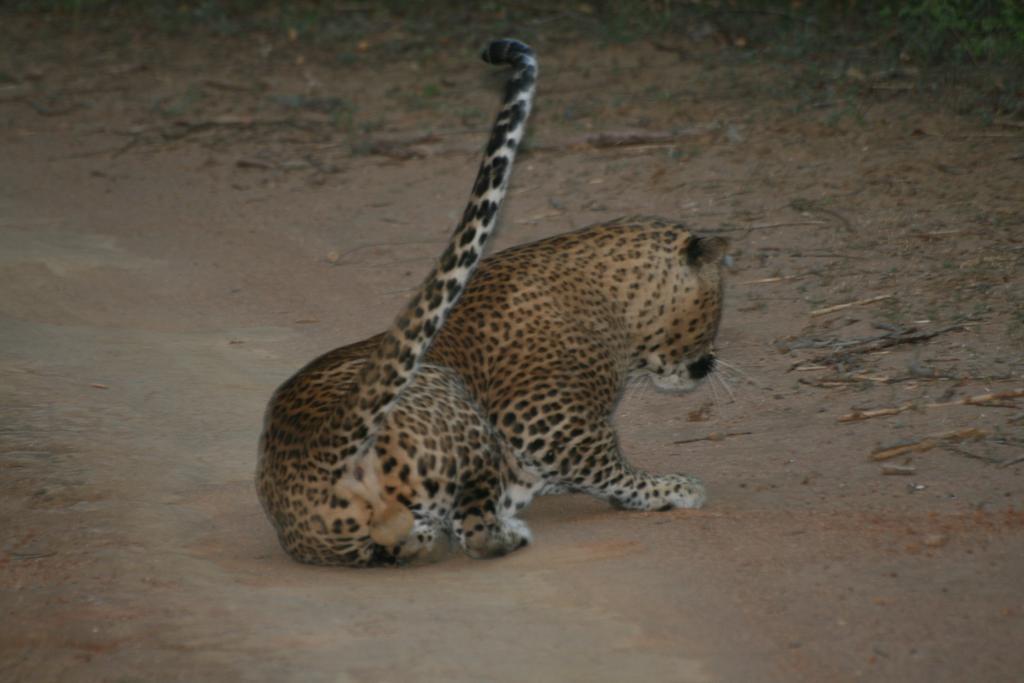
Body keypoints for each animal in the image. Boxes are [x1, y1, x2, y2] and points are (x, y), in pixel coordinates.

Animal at [262, 40, 729, 569]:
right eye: (715, 311)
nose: (711, 364)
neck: (616, 303)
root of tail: (319, 450)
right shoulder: (544, 421)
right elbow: (612, 468)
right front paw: (672, 487)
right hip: (454, 400)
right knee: (475, 532)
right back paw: (510, 533)